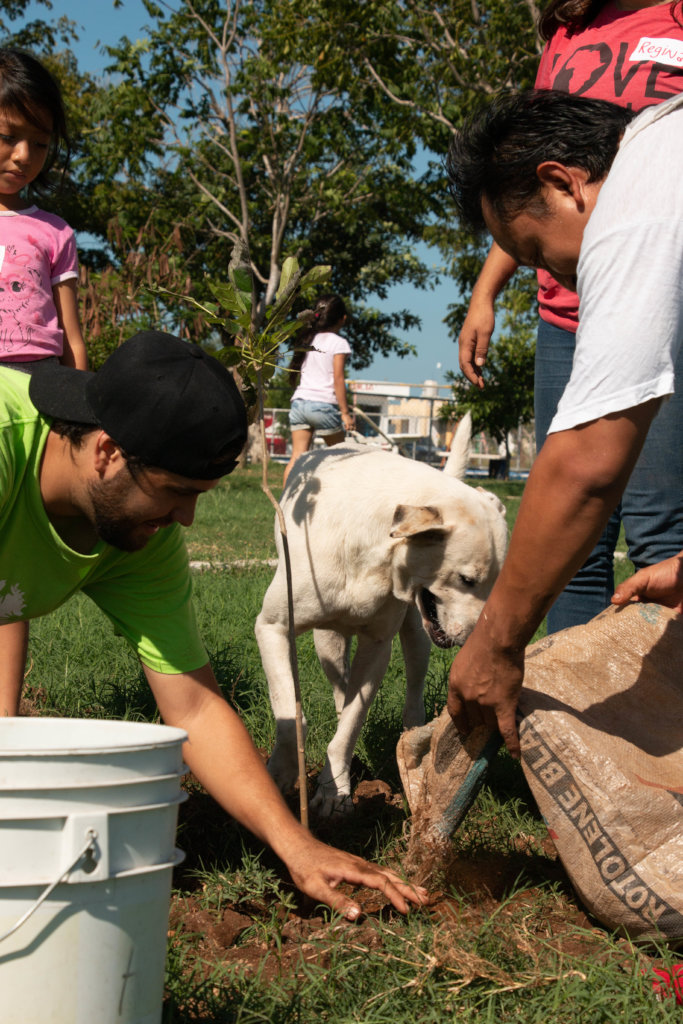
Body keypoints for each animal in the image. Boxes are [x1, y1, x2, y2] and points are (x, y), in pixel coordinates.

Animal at [254, 415, 507, 815]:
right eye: (467, 580)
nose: (476, 643)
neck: (373, 552)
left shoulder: (377, 648)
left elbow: (350, 727)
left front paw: (333, 791)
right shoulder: (272, 629)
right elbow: (291, 717)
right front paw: (281, 774)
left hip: (417, 637)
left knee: (411, 693)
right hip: (327, 644)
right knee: (340, 688)